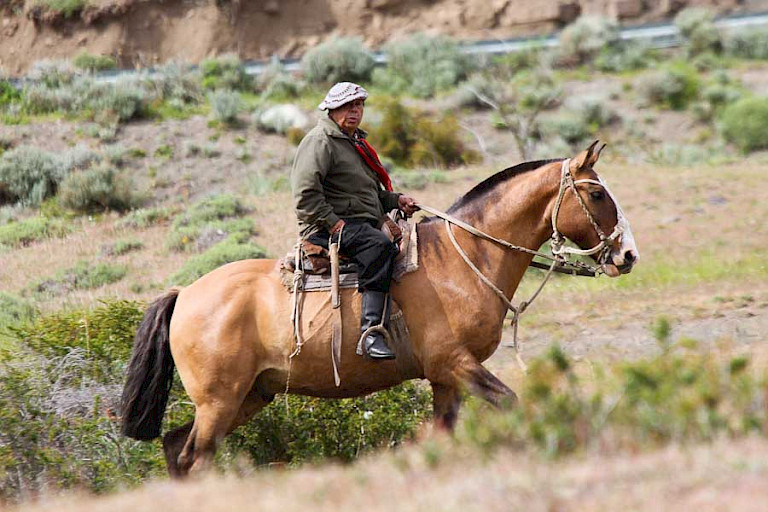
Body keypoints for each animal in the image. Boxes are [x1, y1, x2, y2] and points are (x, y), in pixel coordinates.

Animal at [120, 141, 638, 477]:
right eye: (596, 194)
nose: (627, 255)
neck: (463, 258)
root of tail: (185, 293)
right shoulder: (456, 364)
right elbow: (511, 402)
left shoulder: (445, 377)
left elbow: (442, 433)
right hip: (220, 401)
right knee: (194, 456)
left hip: (249, 395)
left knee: (175, 447)